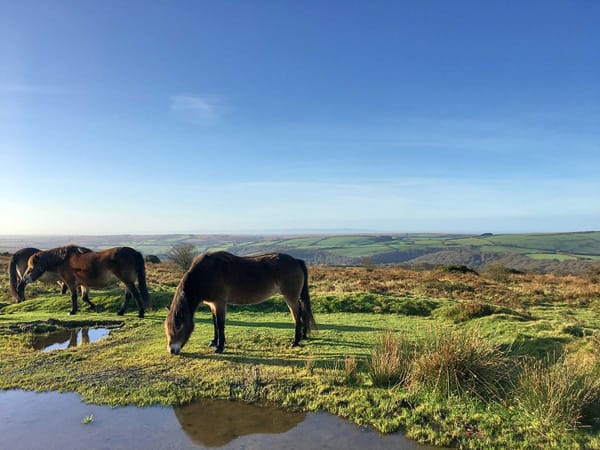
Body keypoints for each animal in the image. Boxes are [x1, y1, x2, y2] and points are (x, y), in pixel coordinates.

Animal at [162, 251, 316, 354]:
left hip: (290, 297)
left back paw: (295, 341)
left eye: (179, 326)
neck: (205, 273)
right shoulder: (212, 304)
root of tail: (295, 260)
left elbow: (220, 324)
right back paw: (303, 336)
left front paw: (220, 347)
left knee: (297, 315)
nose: (172, 350)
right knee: (302, 312)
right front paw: (214, 342)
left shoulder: (220, 303)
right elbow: (214, 323)